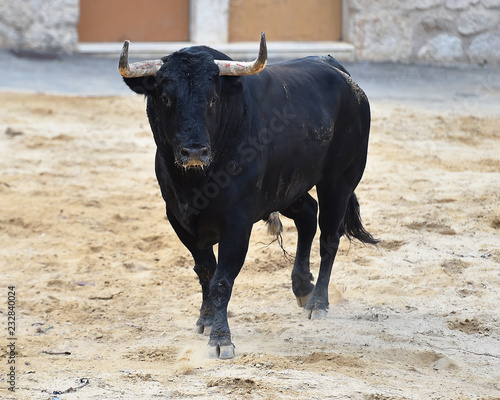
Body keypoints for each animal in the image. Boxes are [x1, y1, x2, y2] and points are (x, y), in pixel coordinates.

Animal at [123, 41, 376, 360]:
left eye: (213, 99)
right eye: (166, 98)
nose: (194, 152)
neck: (195, 182)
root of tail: (339, 71)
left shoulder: (237, 222)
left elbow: (221, 280)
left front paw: (221, 340)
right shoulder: (178, 218)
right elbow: (205, 270)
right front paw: (206, 320)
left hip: (338, 182)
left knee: (329, 237)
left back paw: (318, 303)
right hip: (287, 187)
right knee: (308, 215)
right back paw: (301, 287)